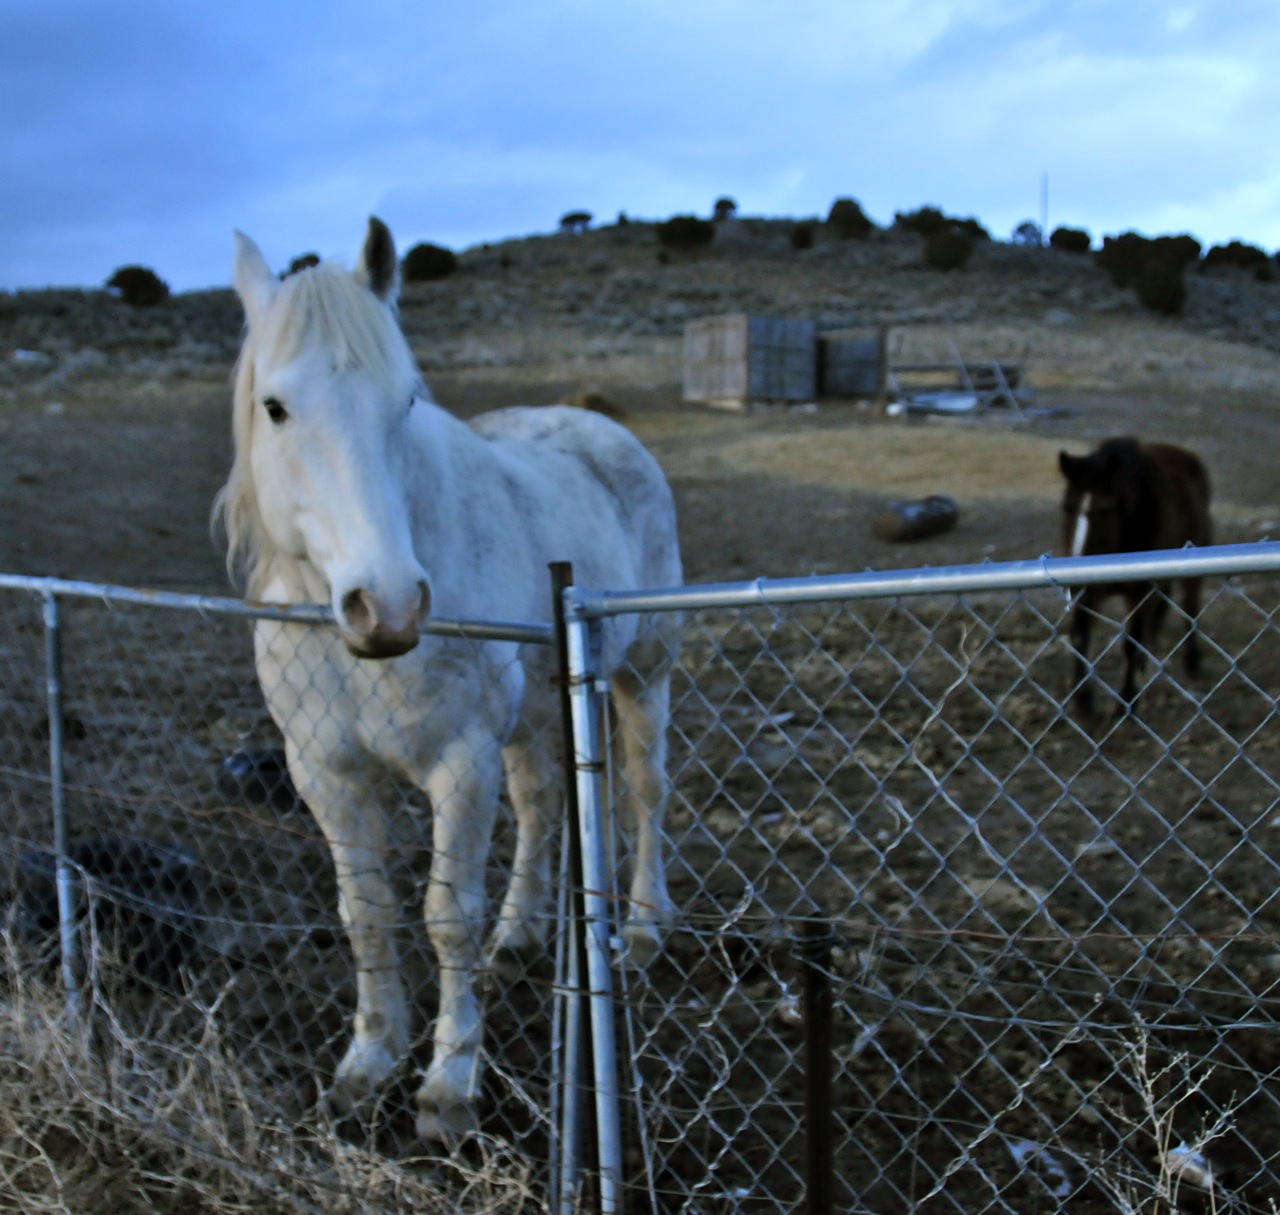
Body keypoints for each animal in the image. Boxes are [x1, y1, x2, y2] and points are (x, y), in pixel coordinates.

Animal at [215, 215, 686, 1136]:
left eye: (405, 400)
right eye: (275, 407)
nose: (389, 606)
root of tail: (601, 429)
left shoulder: (459, 763)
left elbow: (445, 916)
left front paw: (448, 1082)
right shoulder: (324, 771)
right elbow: (366, 913)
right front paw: (370, 1059)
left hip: (642, 674)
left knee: (646, 792)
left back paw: (646, 927)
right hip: (534, 716)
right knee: (540, 805)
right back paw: (522, 933)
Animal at [1059, 432, 1208, 711]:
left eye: (1105, 509)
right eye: (1067, 508)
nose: (1074, 580)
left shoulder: (1139, 590)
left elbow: (1132, 642)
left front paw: (1127, 700)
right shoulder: (1089, 594)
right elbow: (1080, 637)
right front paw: (1083, 700)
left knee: (1190, 607)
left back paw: (1193, 663)